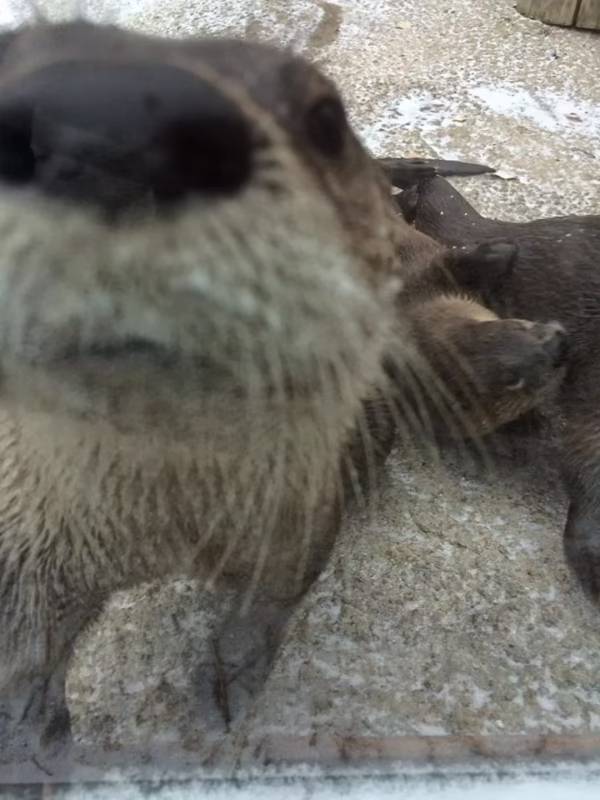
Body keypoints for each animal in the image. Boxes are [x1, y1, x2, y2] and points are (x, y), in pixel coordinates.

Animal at [0, 19, 568, 768]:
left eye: (322, 119)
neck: (170, 523)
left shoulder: (302, 507)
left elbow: (270, 601)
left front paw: (232, 685)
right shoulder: (43, 541)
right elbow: (30, 638)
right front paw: (30, 727)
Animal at [386, 172, 600, 603]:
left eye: (515, 325)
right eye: (514, 381)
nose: (558, 341)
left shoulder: (427, 266)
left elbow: (456, 259)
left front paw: (497, 253)